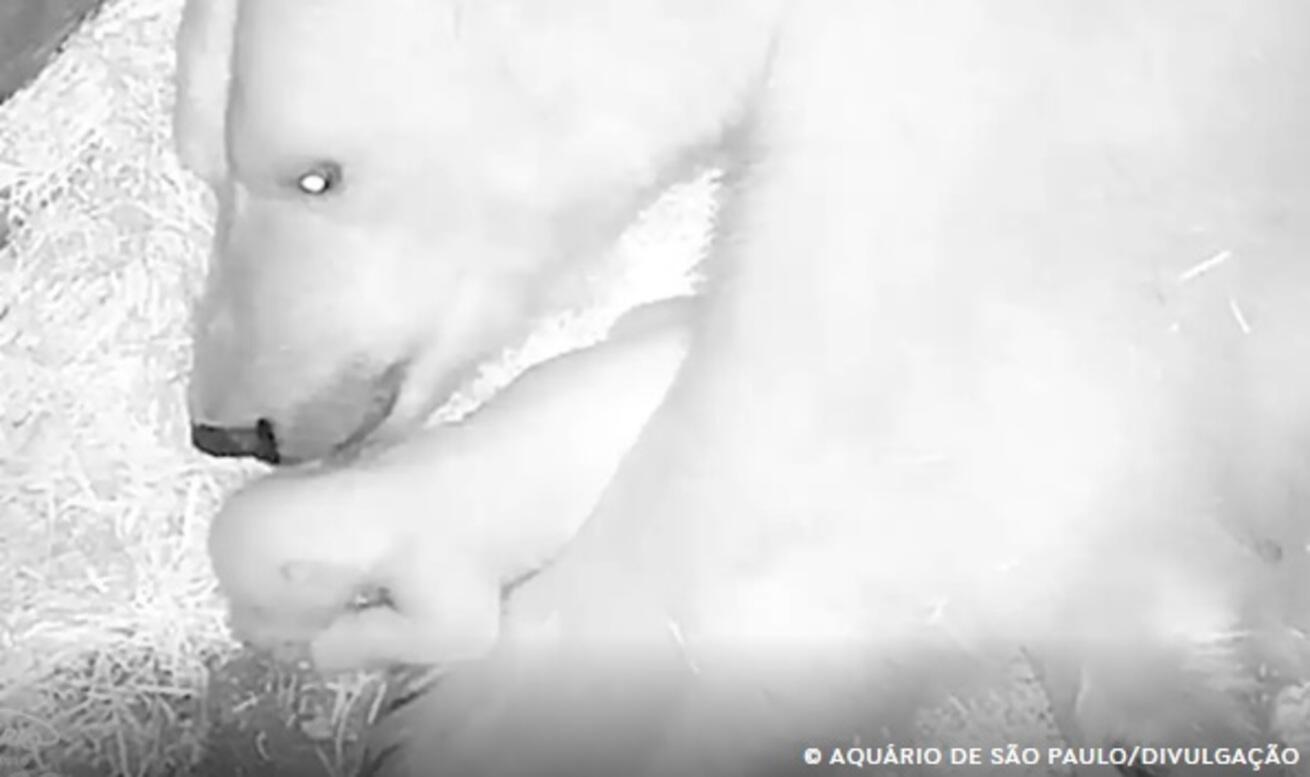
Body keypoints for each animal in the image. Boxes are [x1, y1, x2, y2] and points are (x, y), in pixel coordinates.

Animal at [173, 1, 1310, 775]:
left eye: (317, 174)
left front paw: (480, 717)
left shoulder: (1070, 91)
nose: (229, 424)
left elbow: (890, 378)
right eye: (204, 166)